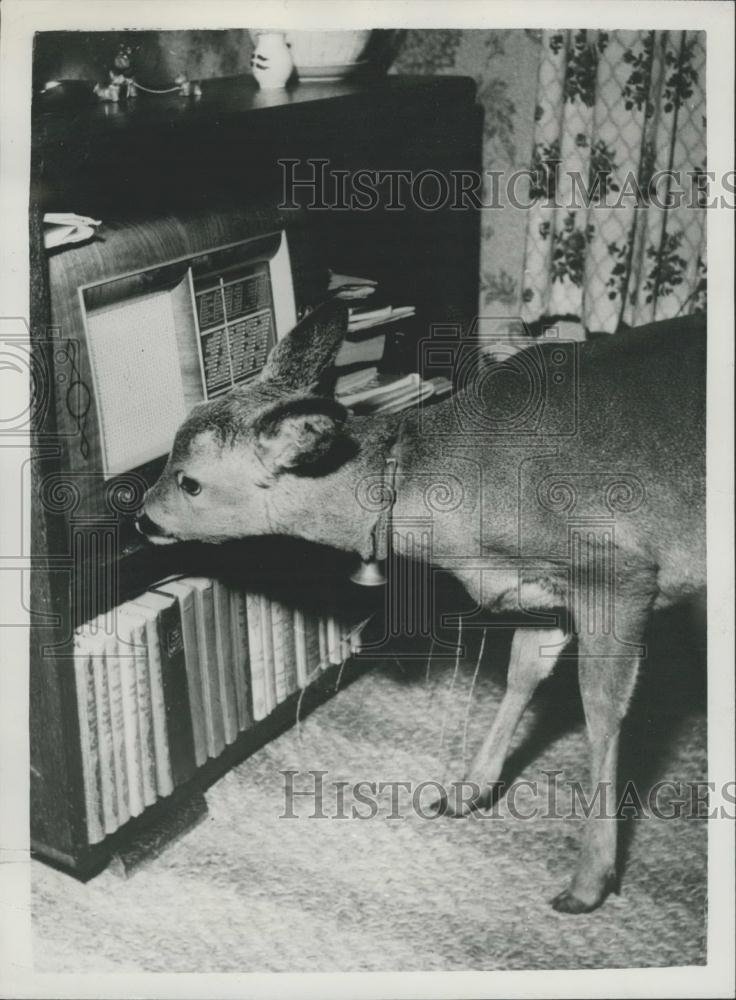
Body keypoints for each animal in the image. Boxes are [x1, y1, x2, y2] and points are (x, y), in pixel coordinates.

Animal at [138, 298, 708, 916]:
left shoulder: (617, 572)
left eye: (190, 482)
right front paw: (466, 791)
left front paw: (588, 882)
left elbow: (602, 711)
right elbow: (522, 673)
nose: (142, 518)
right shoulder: (542, 592)